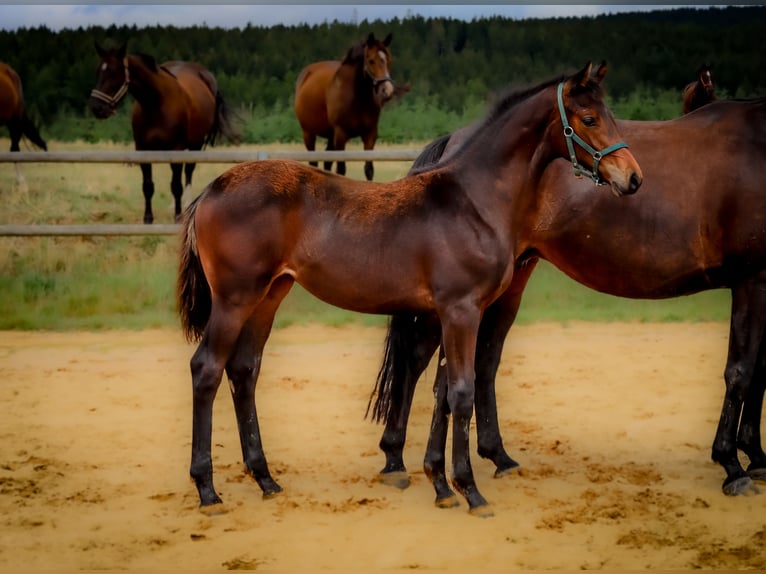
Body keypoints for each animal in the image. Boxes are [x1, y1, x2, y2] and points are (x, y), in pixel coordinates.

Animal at [87, 42, 240, 224]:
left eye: (114, 72)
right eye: (98, 71)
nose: (97, 107)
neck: (156, 104)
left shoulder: (177, 149)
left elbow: (176, 185)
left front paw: (177, 216)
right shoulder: (143, 150)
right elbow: (147, 185)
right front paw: (148, 218)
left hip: (195, 144)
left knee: (188, 172)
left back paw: (187, 203)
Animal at [176, 62, 642, 516]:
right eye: (589, 118)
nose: (633, 178)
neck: (473, 202)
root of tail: (210, 191)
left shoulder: (448, 314)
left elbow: (443, 393)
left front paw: (441, 485)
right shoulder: (461, 311)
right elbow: (462, 393)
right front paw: (470, 491)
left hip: (270, 295)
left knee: (244, 369)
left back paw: (265, 479)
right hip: (234, 299)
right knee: (206, 369)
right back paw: (208, 491)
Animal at [294, 32, 408, 182]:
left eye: (389, 59)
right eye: (371, 60)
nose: (387, 90)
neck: (357, 98)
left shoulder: (370, 135)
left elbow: (369, 170)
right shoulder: (341, 135)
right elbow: (341, 170)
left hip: (330, 136)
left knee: (327, 162)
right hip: (309, 134)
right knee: (314, 163)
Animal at [369, 96, 766, 507]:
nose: (632, 179)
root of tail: (454, 144)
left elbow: (761, 371)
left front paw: (755, 455)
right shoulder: (753, 280)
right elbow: (742, 371)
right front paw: (733, 465)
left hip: (507, 283)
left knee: (480, 362)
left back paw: (489, 456)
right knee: (419, 360)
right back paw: (398, 461)